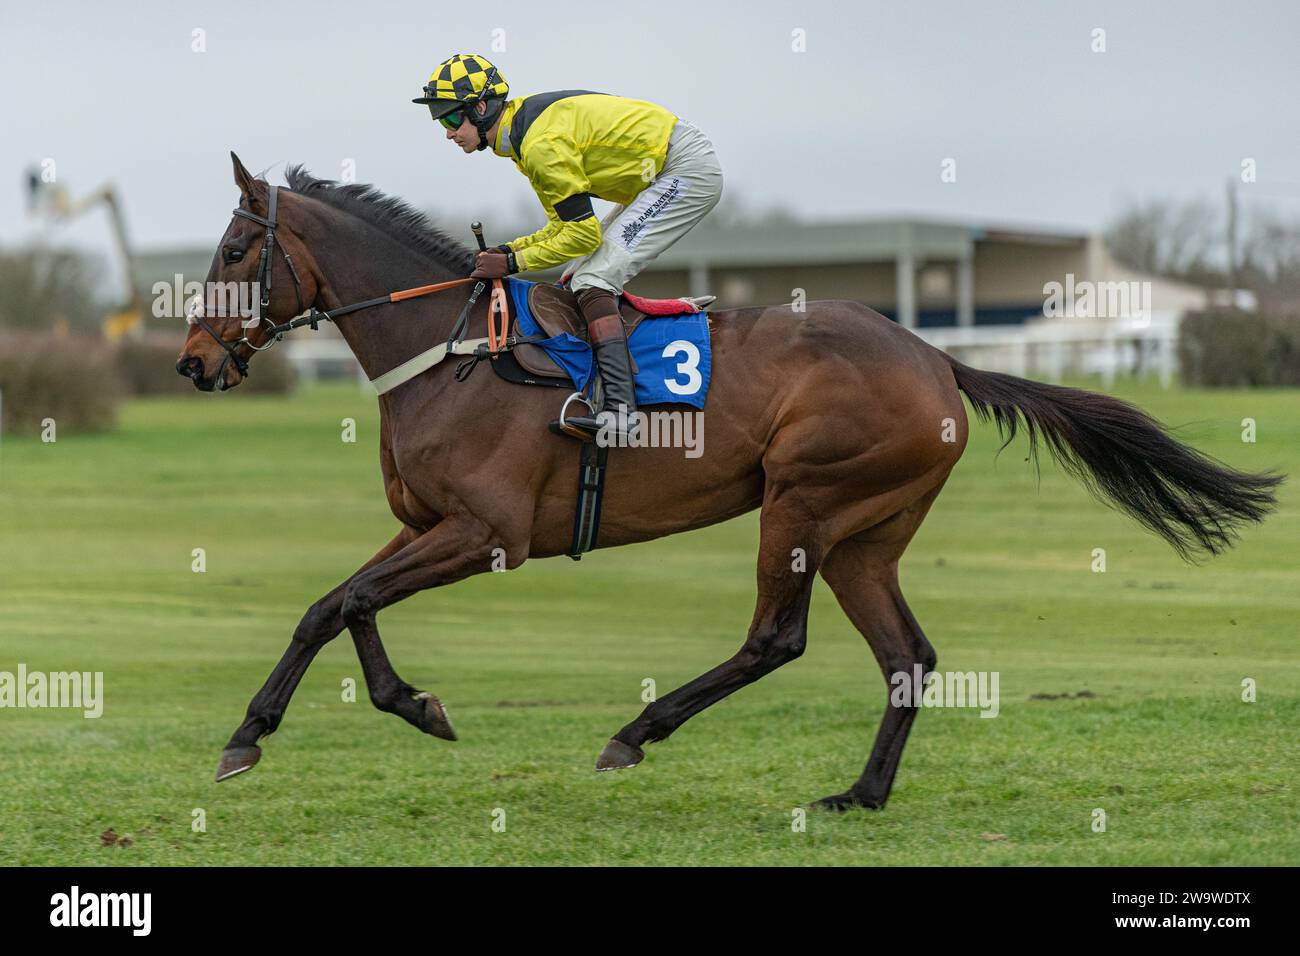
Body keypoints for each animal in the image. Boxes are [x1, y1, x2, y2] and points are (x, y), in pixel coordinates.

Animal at [178, 153, 1284, 811]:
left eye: (233, 248)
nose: (190, 363)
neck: (449, 351)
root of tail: (938, 359)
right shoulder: (430, 523)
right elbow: (338, 604)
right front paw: (389, 706)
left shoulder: (489, 531)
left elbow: (347, 599)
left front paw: (266, 730)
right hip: (865, 533)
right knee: (908, 655)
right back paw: (859, 794)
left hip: (805, 498)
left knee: (775, 638)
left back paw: (637, 732)